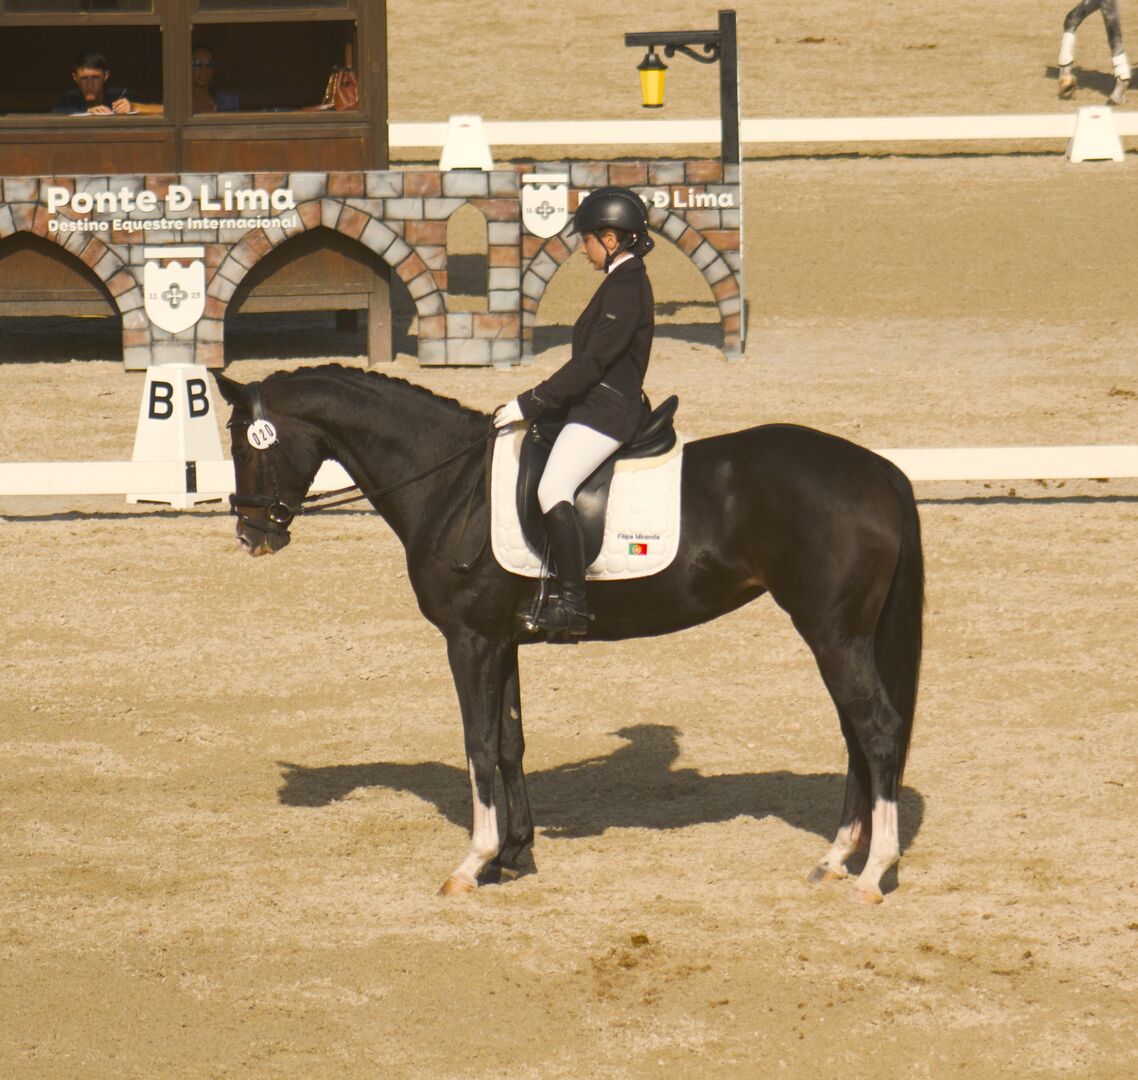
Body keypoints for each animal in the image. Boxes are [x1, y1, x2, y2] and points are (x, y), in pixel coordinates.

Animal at [214, 364, 924, 905]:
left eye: (247, 446)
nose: (251, 536)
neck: (450, 483)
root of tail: (877, 469)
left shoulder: (469, 641)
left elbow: (478, 744)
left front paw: (473, 863)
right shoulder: (502, 641)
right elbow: (509, 743)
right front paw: (515, 856)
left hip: (834, 634)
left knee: (877, 729)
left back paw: (872, 873)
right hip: (841, 637)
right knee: (856, 734)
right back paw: (835, 859)